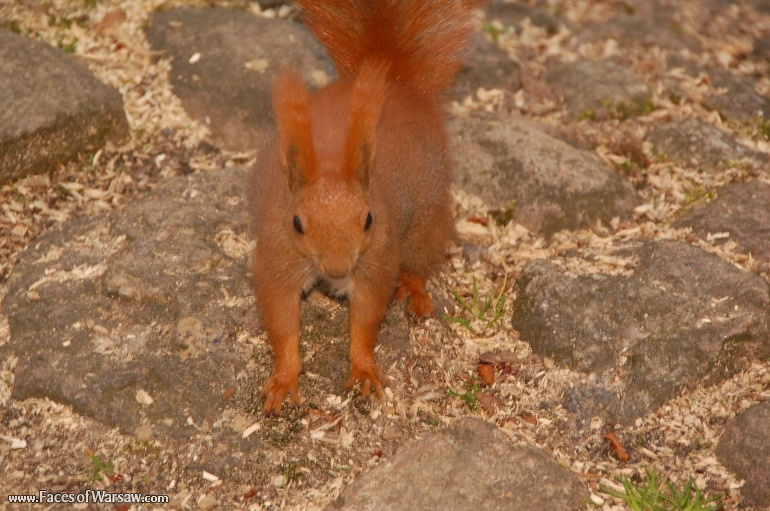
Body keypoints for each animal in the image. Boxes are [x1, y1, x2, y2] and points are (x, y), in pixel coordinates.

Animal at [249, 0, 477, 415]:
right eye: (297, 223)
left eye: (369, 219)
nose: (338, 269)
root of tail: (397, 86)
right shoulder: (277, 258)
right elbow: (282, 320)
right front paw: (284, 378)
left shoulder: (377, 260)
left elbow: (367, 317)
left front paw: (364, 369)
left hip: (425, 222)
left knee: (420, 261)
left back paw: (416, 294)